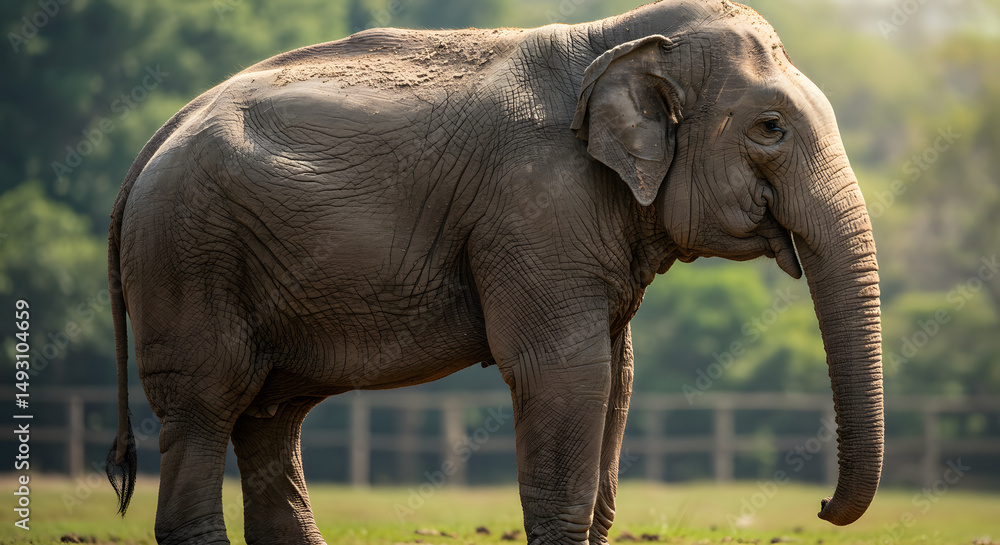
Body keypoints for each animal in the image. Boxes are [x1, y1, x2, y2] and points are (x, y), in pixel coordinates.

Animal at [105, 0, 883, 543]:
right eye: (769, 128)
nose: (819, 505)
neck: (615, 36)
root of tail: (153, 143)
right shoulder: (534, 206)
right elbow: (564, 372)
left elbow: (617, 379)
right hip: (188, 257)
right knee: (208, 403)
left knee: (269, 416)